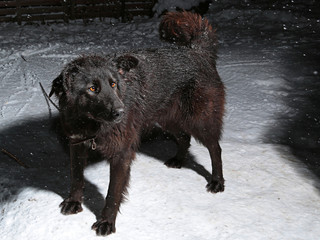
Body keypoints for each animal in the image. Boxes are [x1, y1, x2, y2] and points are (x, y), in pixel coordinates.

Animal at [50, 11, 225, 236]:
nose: (121, 112)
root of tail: (197, 51)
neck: (91, 122)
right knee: (184, 137)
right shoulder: (77, 144)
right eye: (92, 88)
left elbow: (112, 193)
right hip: (167, 119)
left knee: (215, 148)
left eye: (113, 84)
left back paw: (217, 181)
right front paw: (74, 202)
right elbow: (76, 177)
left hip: (200, 120)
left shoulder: (121, 154)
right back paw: (178, 160)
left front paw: (106, 222)